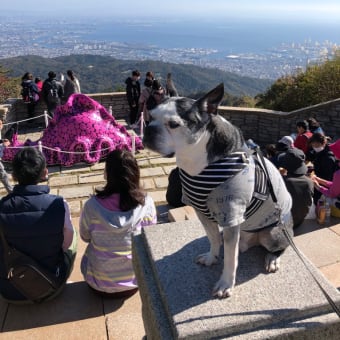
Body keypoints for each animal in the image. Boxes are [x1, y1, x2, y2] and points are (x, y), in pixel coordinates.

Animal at [142, 83, 294, 298]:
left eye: (173, 124)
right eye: (150, 117)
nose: (148, 130)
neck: (195, 160)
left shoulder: (231, 215)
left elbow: (230, 259)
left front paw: (226, 283)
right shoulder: (202, 212)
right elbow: (212, 237)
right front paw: (211, 257)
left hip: (271, 233)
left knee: (281, 246)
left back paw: (272, 259)